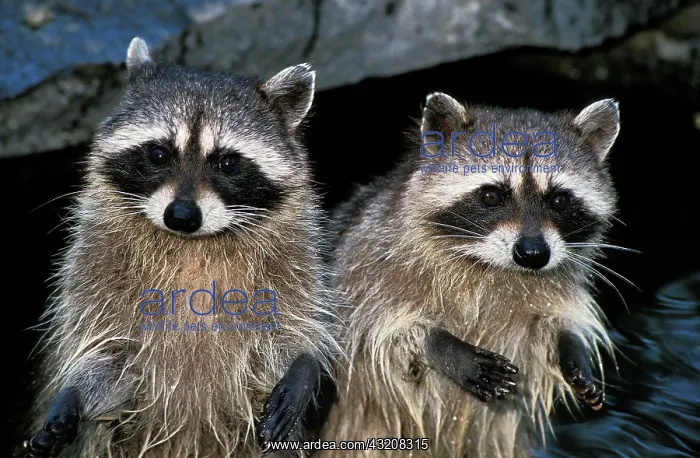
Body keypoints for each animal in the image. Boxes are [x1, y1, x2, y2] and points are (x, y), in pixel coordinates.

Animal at [23, 37, 341, 458]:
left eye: (227, 163)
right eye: (159, 154)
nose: (182, 216)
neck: (192, 247)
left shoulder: (295, 256)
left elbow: (294, 323)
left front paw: (303, 360)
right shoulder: (94, 259)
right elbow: (108, 353)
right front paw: (75, 390)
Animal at [318, 93, 620, 457]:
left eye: (560, 200)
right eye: (492, 195)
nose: (533, 254)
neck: (492, 267)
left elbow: (552, 324)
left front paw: (571, 348)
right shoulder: (367, 262)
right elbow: (376, 331)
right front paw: (438, 344)